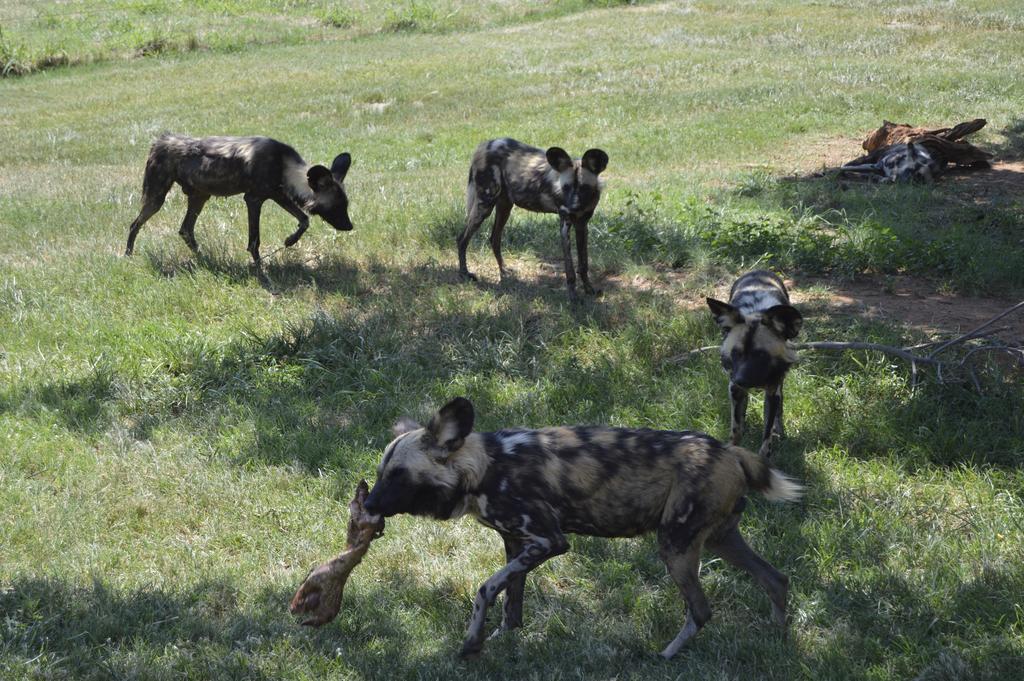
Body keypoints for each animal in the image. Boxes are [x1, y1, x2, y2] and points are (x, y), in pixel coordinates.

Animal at [124, 133, 352, 266]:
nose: (350, 226)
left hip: (200, 197)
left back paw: (206, 259)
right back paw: (127, 256)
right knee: (135, 224)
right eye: (337, 207)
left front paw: (290, 241)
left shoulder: (277, 194)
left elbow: (304, 220)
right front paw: (260, 269)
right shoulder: (253, 200)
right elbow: (255, 240)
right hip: (156, 199)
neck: (283, 165)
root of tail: (160, 141)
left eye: (345, 205)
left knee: (186, 230)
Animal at [364, 395, 802, 655]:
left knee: (701, 610)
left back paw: (664, 657)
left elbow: (485, 588)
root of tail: (729, 450)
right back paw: (778, 639)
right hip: (719, 540)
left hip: (676, 547)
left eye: (398, 475)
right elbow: (511, 602)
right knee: (775, 579)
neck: (485, 468)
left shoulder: (548, 541)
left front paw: (471, 643)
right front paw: (502, 639)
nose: (367, 504)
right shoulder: (516, 545)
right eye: (381, 472)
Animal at [456, 137, 606, 299]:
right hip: (484, 206)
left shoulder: (582, 226)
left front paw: (589, 289)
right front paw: (573, 297)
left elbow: (583, 264)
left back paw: (504, 271)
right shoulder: (565, 225)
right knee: (462, 239)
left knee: (494, 239)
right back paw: (464, 274)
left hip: (504, 207)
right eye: (566, 187)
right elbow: (570, 269)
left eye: (584, 188)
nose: (572, 208)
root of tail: (486, 144)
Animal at [708, 270, 802, 456]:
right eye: (736, 353)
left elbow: (767, 435)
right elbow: (735, 430)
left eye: (761, 355)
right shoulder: (734, 389)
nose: (741, 380)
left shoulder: (773, 391)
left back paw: (779, 431)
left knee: (779, 410)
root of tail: (759, 270)